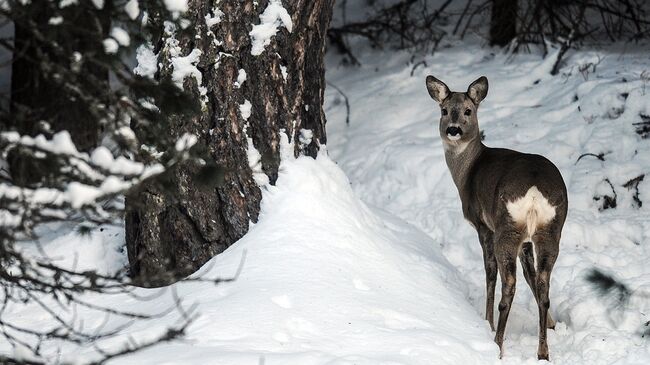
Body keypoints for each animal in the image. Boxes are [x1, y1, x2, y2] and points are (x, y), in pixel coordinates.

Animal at [422, 75, 564, 360]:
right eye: (444, 111)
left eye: (469, 110)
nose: (453, 130)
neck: (467, 172)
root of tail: (534, 192)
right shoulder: (526, 242)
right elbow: (531, 276)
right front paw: (552, 324)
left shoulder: (482, 225)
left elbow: (490, 272)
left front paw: (486, 322)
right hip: (550, 229)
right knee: (543, 284)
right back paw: (542, 352)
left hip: (506, 228)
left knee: (508, 282)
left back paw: (497, 343)